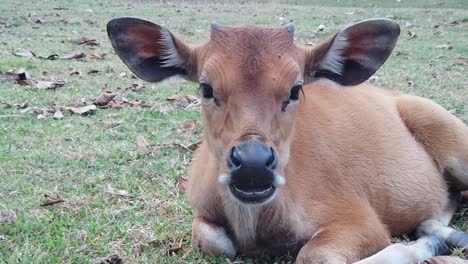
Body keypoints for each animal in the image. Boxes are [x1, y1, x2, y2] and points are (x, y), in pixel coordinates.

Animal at [108, 17, 468, 262]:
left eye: (296, 89)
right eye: (206, 87)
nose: (253, 164)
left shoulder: (361, 218)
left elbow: (313, 255)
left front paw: (416, 249)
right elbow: (216, 243)